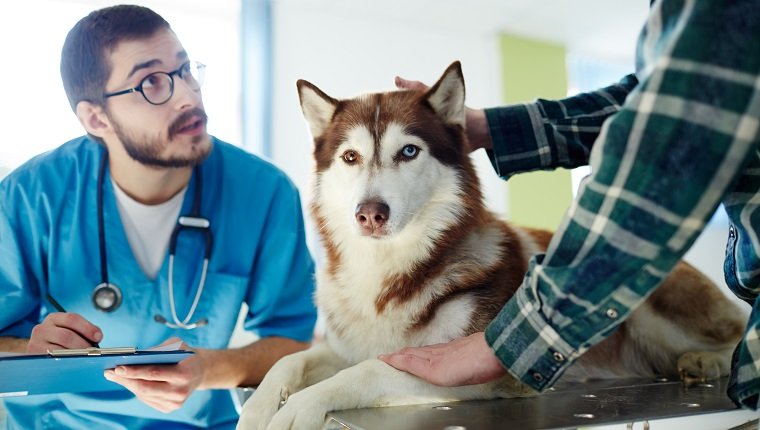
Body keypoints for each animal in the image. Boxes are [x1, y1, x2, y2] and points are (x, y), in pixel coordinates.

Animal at [236, 62, 744, 428]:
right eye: (349, 157)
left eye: (409, 151)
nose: (370, 213)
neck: (390, 272)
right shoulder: (343, 345)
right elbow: (290, 360)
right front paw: (259, 407)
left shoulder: (472, 370)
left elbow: (367, 371)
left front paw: (299, 408)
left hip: (648, 306)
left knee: (740, 330)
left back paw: (709, 360)